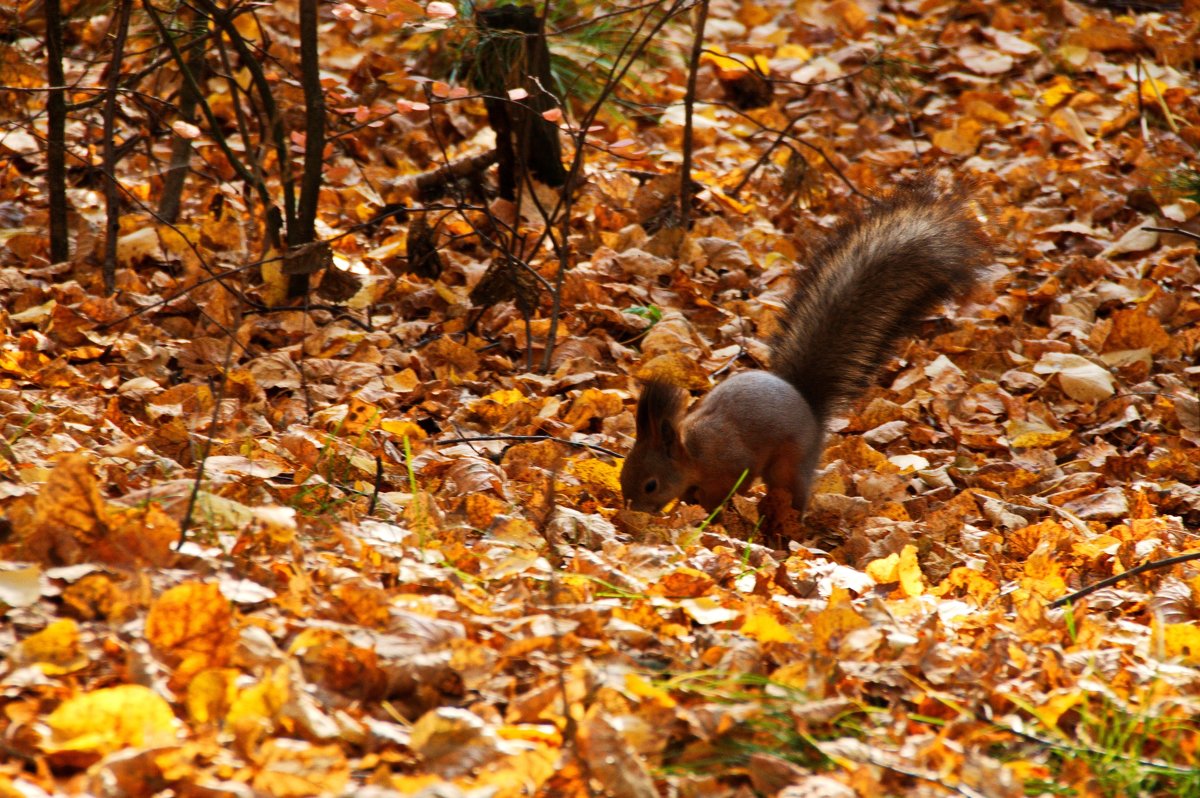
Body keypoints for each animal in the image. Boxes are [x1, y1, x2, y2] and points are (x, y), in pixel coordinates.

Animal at [624, 175, 988, 513]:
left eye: (651, 484)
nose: (630, 509)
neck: (694, 452)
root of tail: (810, 407)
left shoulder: (732, 463)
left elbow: (727, 489)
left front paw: (710, 514)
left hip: (790, 463)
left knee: (792, 489)